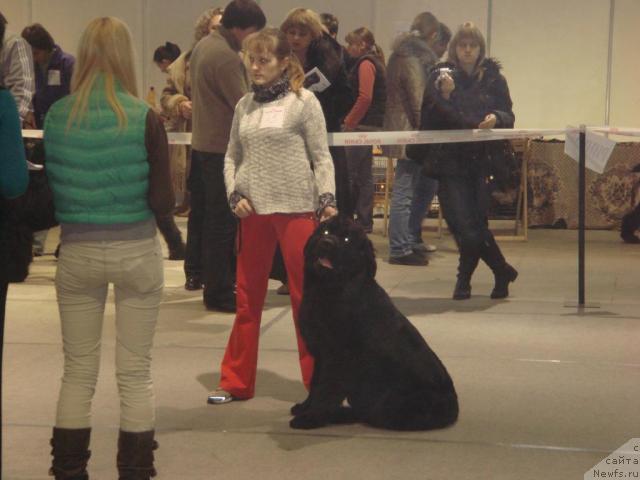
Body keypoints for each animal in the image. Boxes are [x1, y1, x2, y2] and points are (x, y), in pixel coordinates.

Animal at [290, 218, 460, 432]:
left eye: (347, 240)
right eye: (325, 231)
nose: (327, 243)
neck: (328, 289)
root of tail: (454, 409)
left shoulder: (339, 357)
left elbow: (325, 389)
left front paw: (311, 417)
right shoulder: (321, 355)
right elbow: (315, 384)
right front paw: (305, 407)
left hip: (390, 401)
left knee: (370, 414)